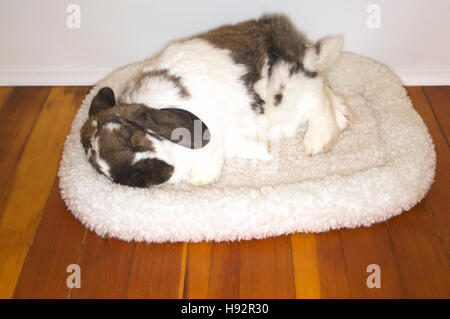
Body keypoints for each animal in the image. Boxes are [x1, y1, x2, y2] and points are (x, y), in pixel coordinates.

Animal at [81, 14, 352, 188]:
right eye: (106, 172)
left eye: (132, 137)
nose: (161, 170)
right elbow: (233, 148)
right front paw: (263, 153)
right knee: (323, 88)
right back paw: (343, 116)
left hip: (283, 93)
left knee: (317, 97)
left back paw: (318, 141)